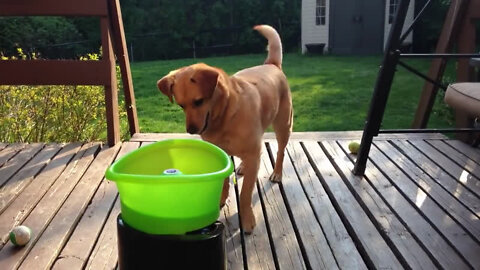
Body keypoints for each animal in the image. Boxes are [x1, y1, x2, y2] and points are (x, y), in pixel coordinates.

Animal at [158, 24, 292, 233]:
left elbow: (245, 195)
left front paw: (247, 219)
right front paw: (221, 199)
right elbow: (223, 182)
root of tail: (271, 64)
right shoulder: (221, 154)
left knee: (280, 151)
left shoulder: (253, 154)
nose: (191, 130)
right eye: (181, 105)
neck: (226, 117)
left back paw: (276, 172)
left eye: (199, 101)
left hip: (283, 125)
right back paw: (243, 166)